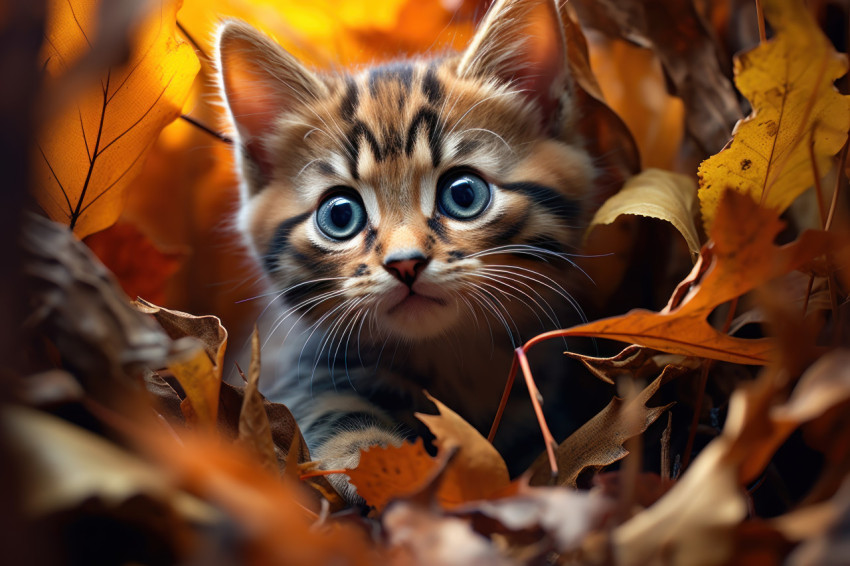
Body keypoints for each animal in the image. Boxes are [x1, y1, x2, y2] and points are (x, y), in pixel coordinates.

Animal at [219, 0, 604, 504]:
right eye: (340, 215)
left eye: (464, 194)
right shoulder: (292, 362)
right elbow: (322, 400)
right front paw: (372, 458)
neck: (450, 359)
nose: (405, 263)